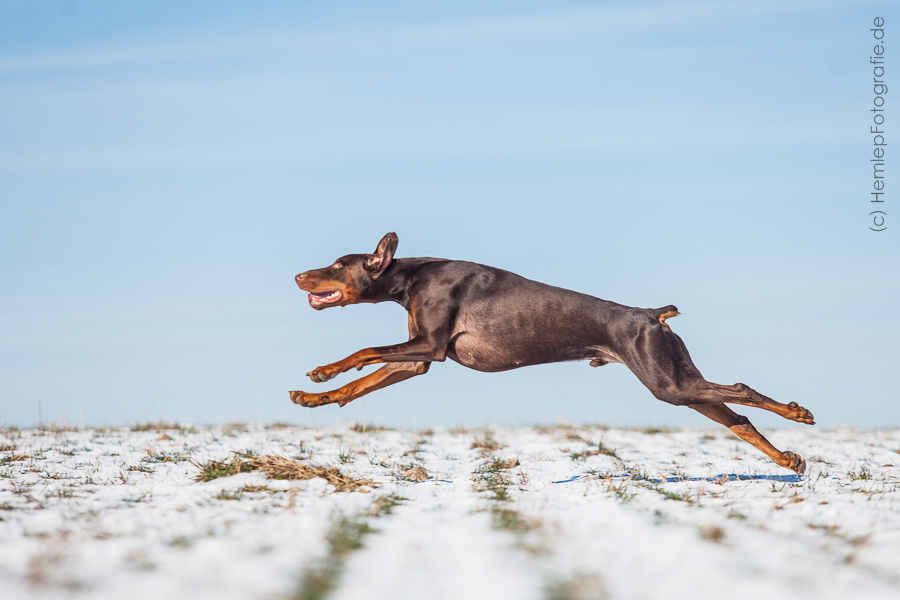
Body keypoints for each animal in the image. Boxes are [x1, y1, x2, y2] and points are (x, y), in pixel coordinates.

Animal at [292, 233, 812, 474]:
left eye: (337, 265)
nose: (297, 275)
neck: (410, 278)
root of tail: (651, 315)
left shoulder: (431, 347)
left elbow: (363, 351)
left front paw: (321, 371)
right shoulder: (417, 358)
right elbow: (360, 384)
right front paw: (313, 396)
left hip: (668, 382)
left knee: (742, 390)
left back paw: (798, 412)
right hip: (678, 380)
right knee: (739, 419)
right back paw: (788, 460)